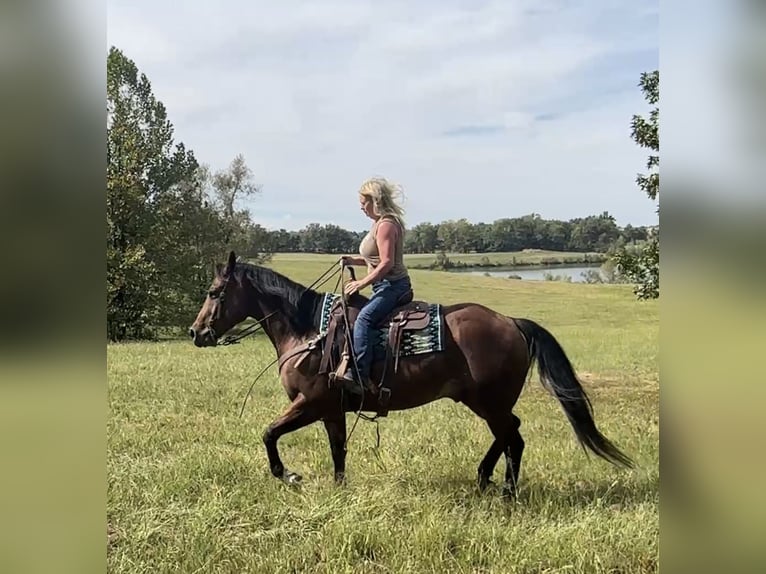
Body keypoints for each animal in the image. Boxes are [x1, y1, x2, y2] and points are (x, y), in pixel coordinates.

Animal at [189, 251, 633, 496]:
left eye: (214, 293)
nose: (196, 332)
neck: (308, 331)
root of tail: (511, 322)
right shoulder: (332, 409)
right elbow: (337, 452)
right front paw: (338, 489)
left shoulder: (311, 403)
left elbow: (269, 434)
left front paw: (289, 476)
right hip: (483, 401)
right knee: (510, 434)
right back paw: (484, 478)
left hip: (490, 402)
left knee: (514, 438)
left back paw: (505, 490)